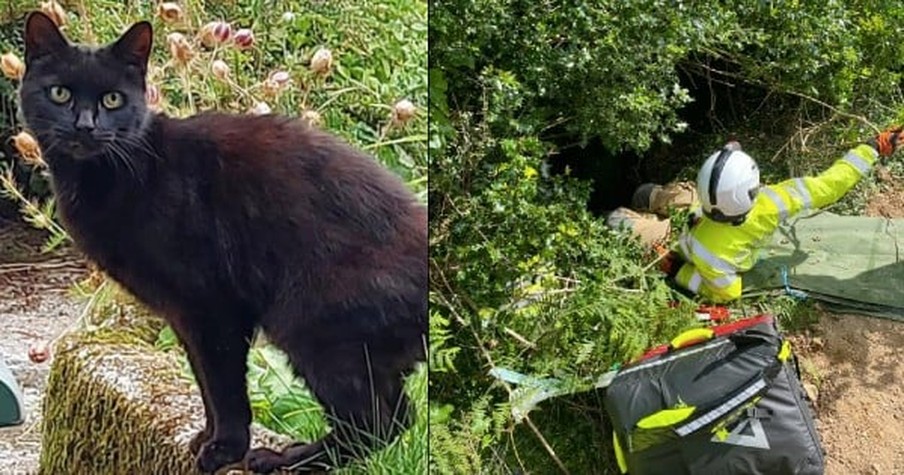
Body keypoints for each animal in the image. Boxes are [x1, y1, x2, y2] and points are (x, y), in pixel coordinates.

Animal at [18, 12, 428, 475]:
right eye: (60, 93)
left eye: (111, 100)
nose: (85, 125)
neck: (116, 174)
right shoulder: (184, 316)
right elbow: (205, 383)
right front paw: (204, 438)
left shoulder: (212, 306)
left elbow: (224, 386)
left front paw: (224, 450)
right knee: (396, 415)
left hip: (312, 326)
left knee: (377, 422)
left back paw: (286, 459)